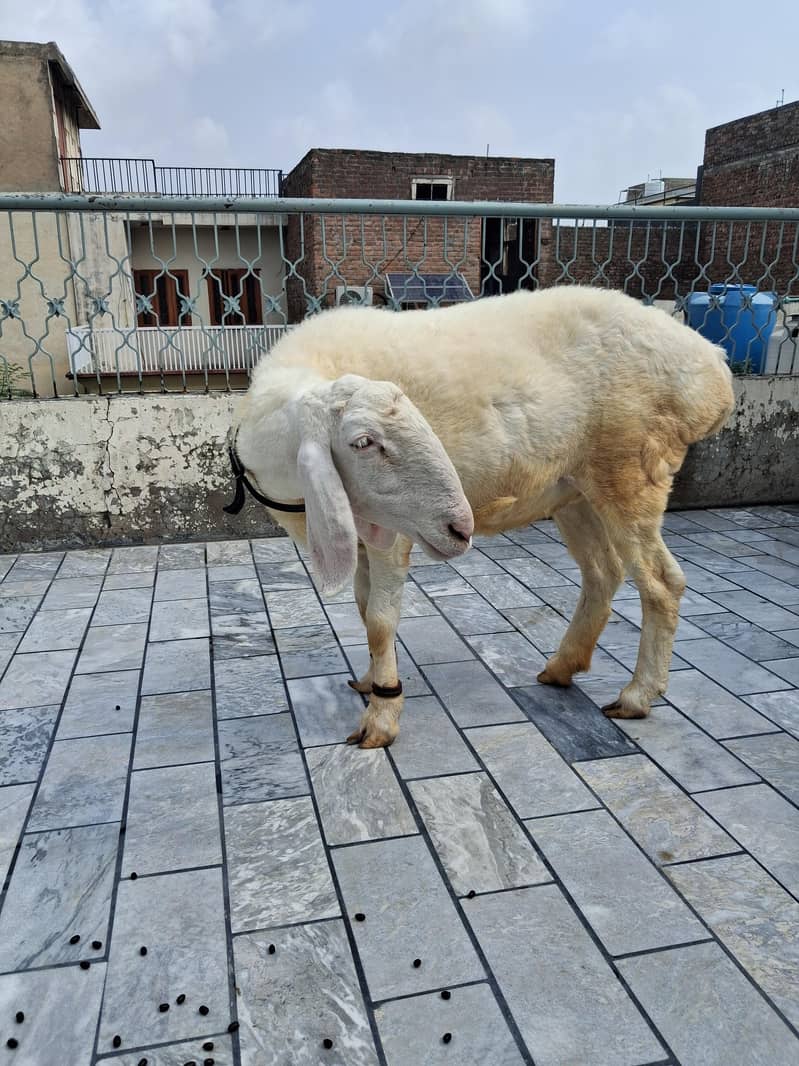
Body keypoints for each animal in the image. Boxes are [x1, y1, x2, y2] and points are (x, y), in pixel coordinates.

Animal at [230, 285, 735, 748]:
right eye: (363, 442)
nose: (460, 527)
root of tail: (712, 366)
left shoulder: (393, 532)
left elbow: (378, 619)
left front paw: (381, 717)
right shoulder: (361, 532)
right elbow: (360, 604)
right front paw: (371, 682)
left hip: (631, 467)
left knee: (661, 582)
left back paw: (637, 695)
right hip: (574, 489)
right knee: (602, 572)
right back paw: (563, 666)